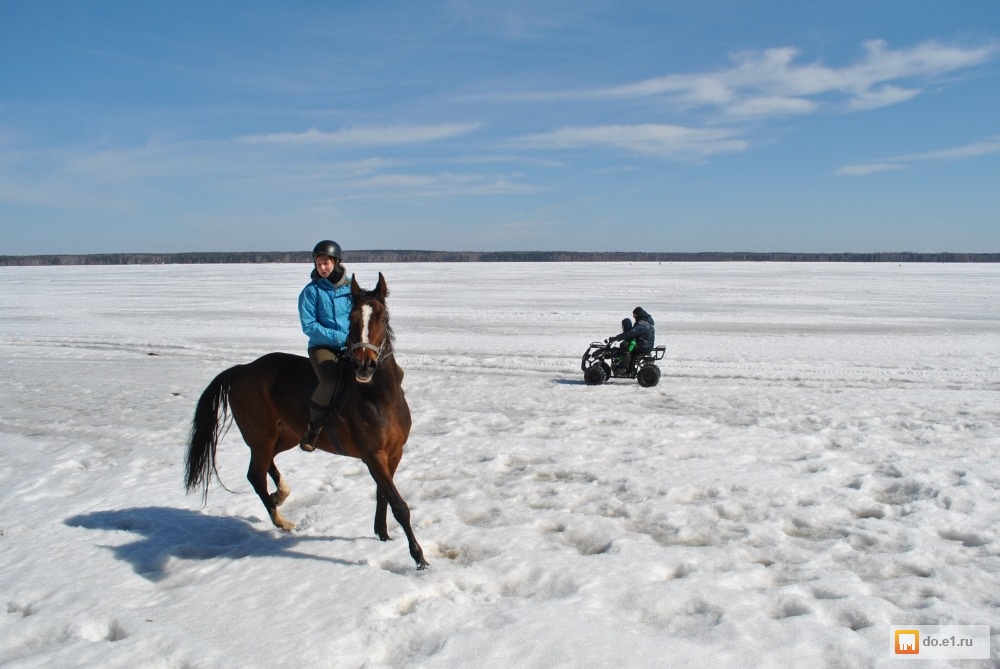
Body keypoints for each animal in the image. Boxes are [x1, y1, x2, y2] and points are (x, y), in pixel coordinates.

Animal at [186, 272, 428, 568]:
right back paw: (282, 521)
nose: (364, 366)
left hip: (286, 435)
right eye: (351, 319)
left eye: (382, 318)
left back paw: (280, 495)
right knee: (255, 474)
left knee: (268, 464)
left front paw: (382, 534)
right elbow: (399, 505)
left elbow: (383, 494)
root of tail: (243, 370)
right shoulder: (372, 455)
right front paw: (419, 558)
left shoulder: (394, 453)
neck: (381, 395)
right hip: (261, 436)